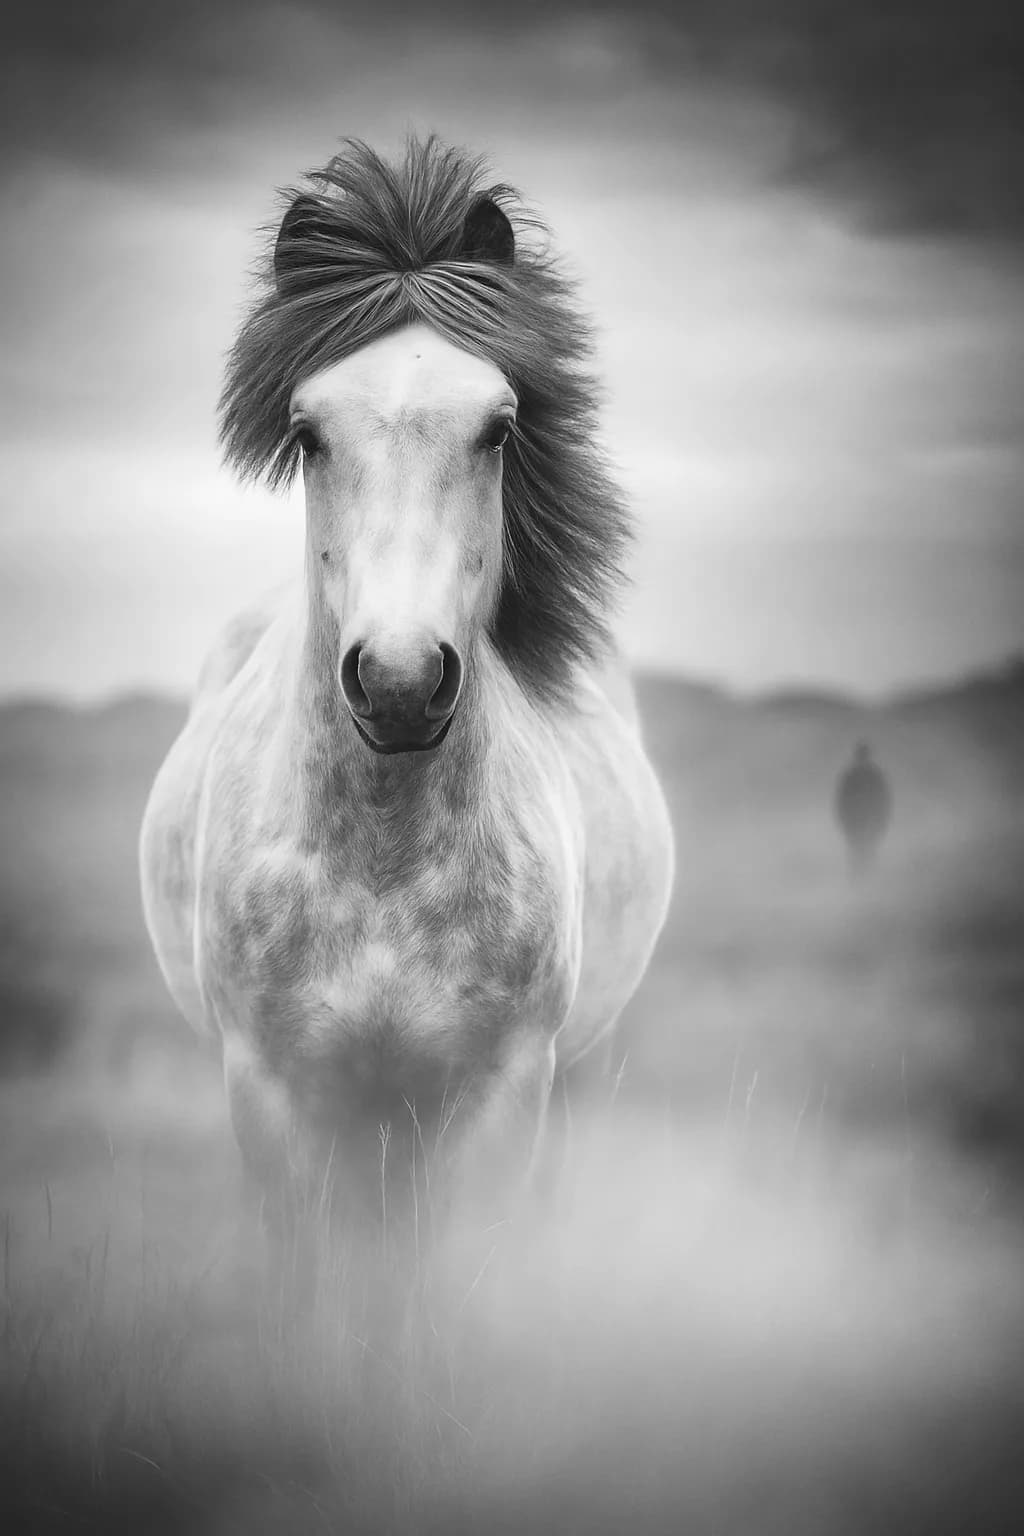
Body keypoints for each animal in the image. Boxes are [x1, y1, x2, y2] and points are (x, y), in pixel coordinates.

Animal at [139, 137, 674, 1250]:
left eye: (499, 427)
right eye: (307, 431)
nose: (397, 683)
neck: (384, 862)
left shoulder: (500, 1103)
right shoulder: (280, 1102)